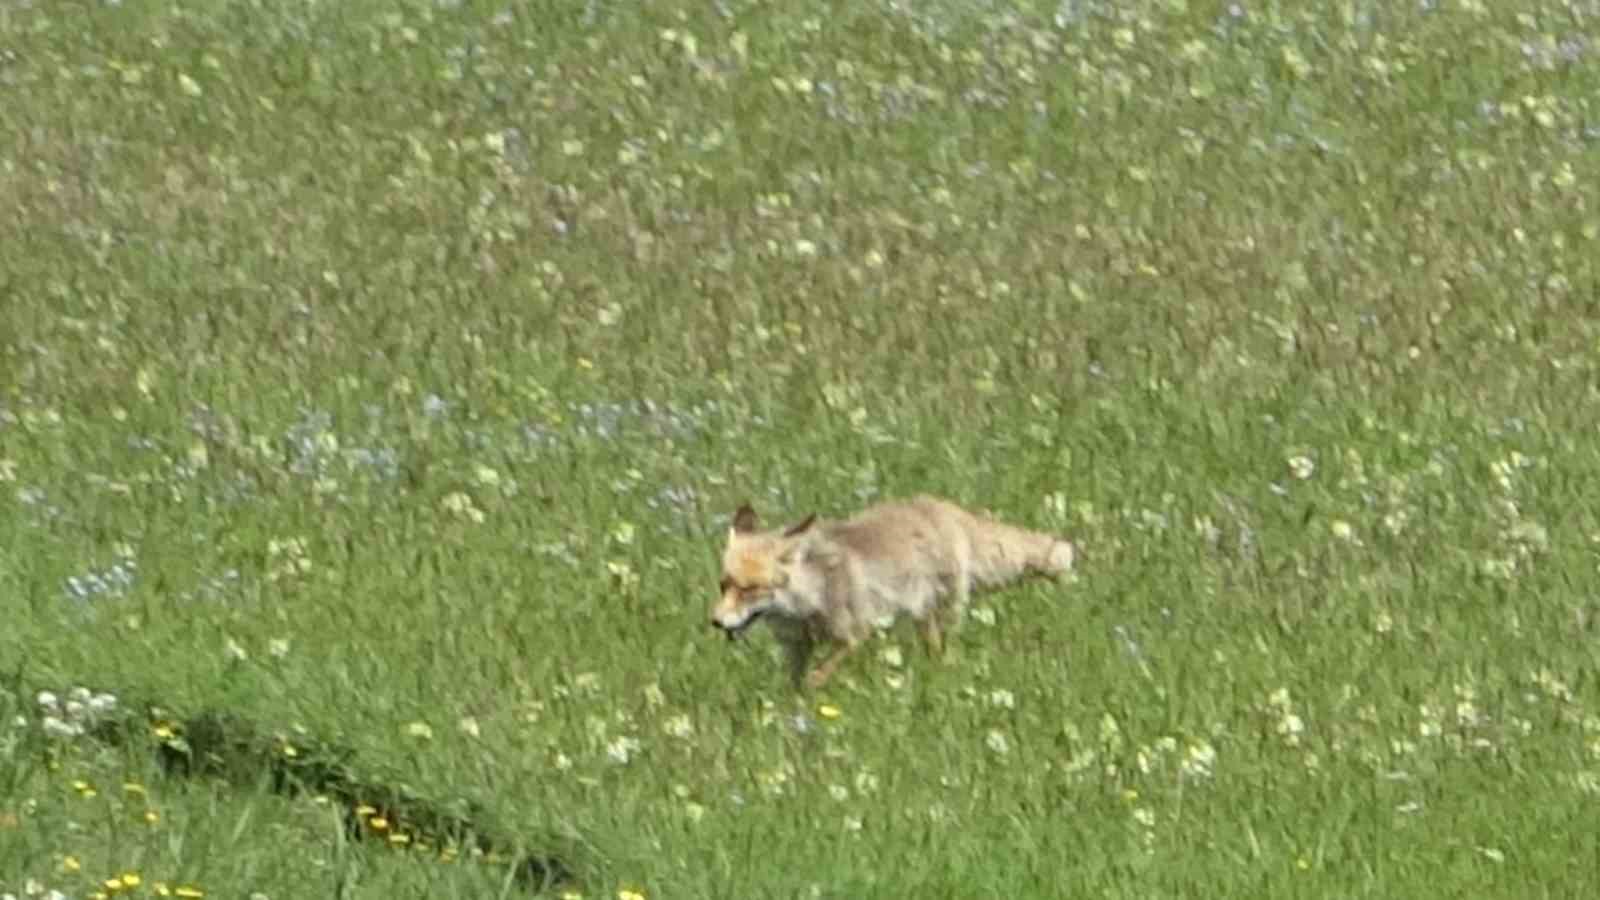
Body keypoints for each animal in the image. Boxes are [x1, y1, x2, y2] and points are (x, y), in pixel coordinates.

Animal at [713, 493, 1075, 688]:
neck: (808, 601)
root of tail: (946, 509)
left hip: (939, 615)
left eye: (749, 589)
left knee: (944, 653)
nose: (715, 622)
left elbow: (820, 674)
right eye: (724, 585)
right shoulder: (795, 648)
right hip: (925, 620)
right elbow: (795, 685)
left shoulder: (855, 633)